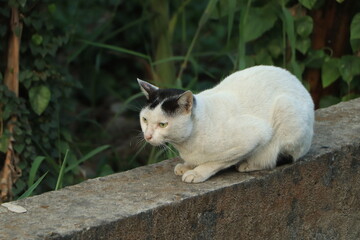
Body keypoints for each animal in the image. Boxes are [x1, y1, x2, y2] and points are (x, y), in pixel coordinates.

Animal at [136, 64, 314, 183]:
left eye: (163, 124)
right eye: (144, 120)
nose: (148, 136)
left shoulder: (253, 137)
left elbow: (215, 162)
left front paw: (197, 172)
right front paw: (187, 165)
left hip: (286, 110)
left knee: (279, 157)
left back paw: (248, 164)